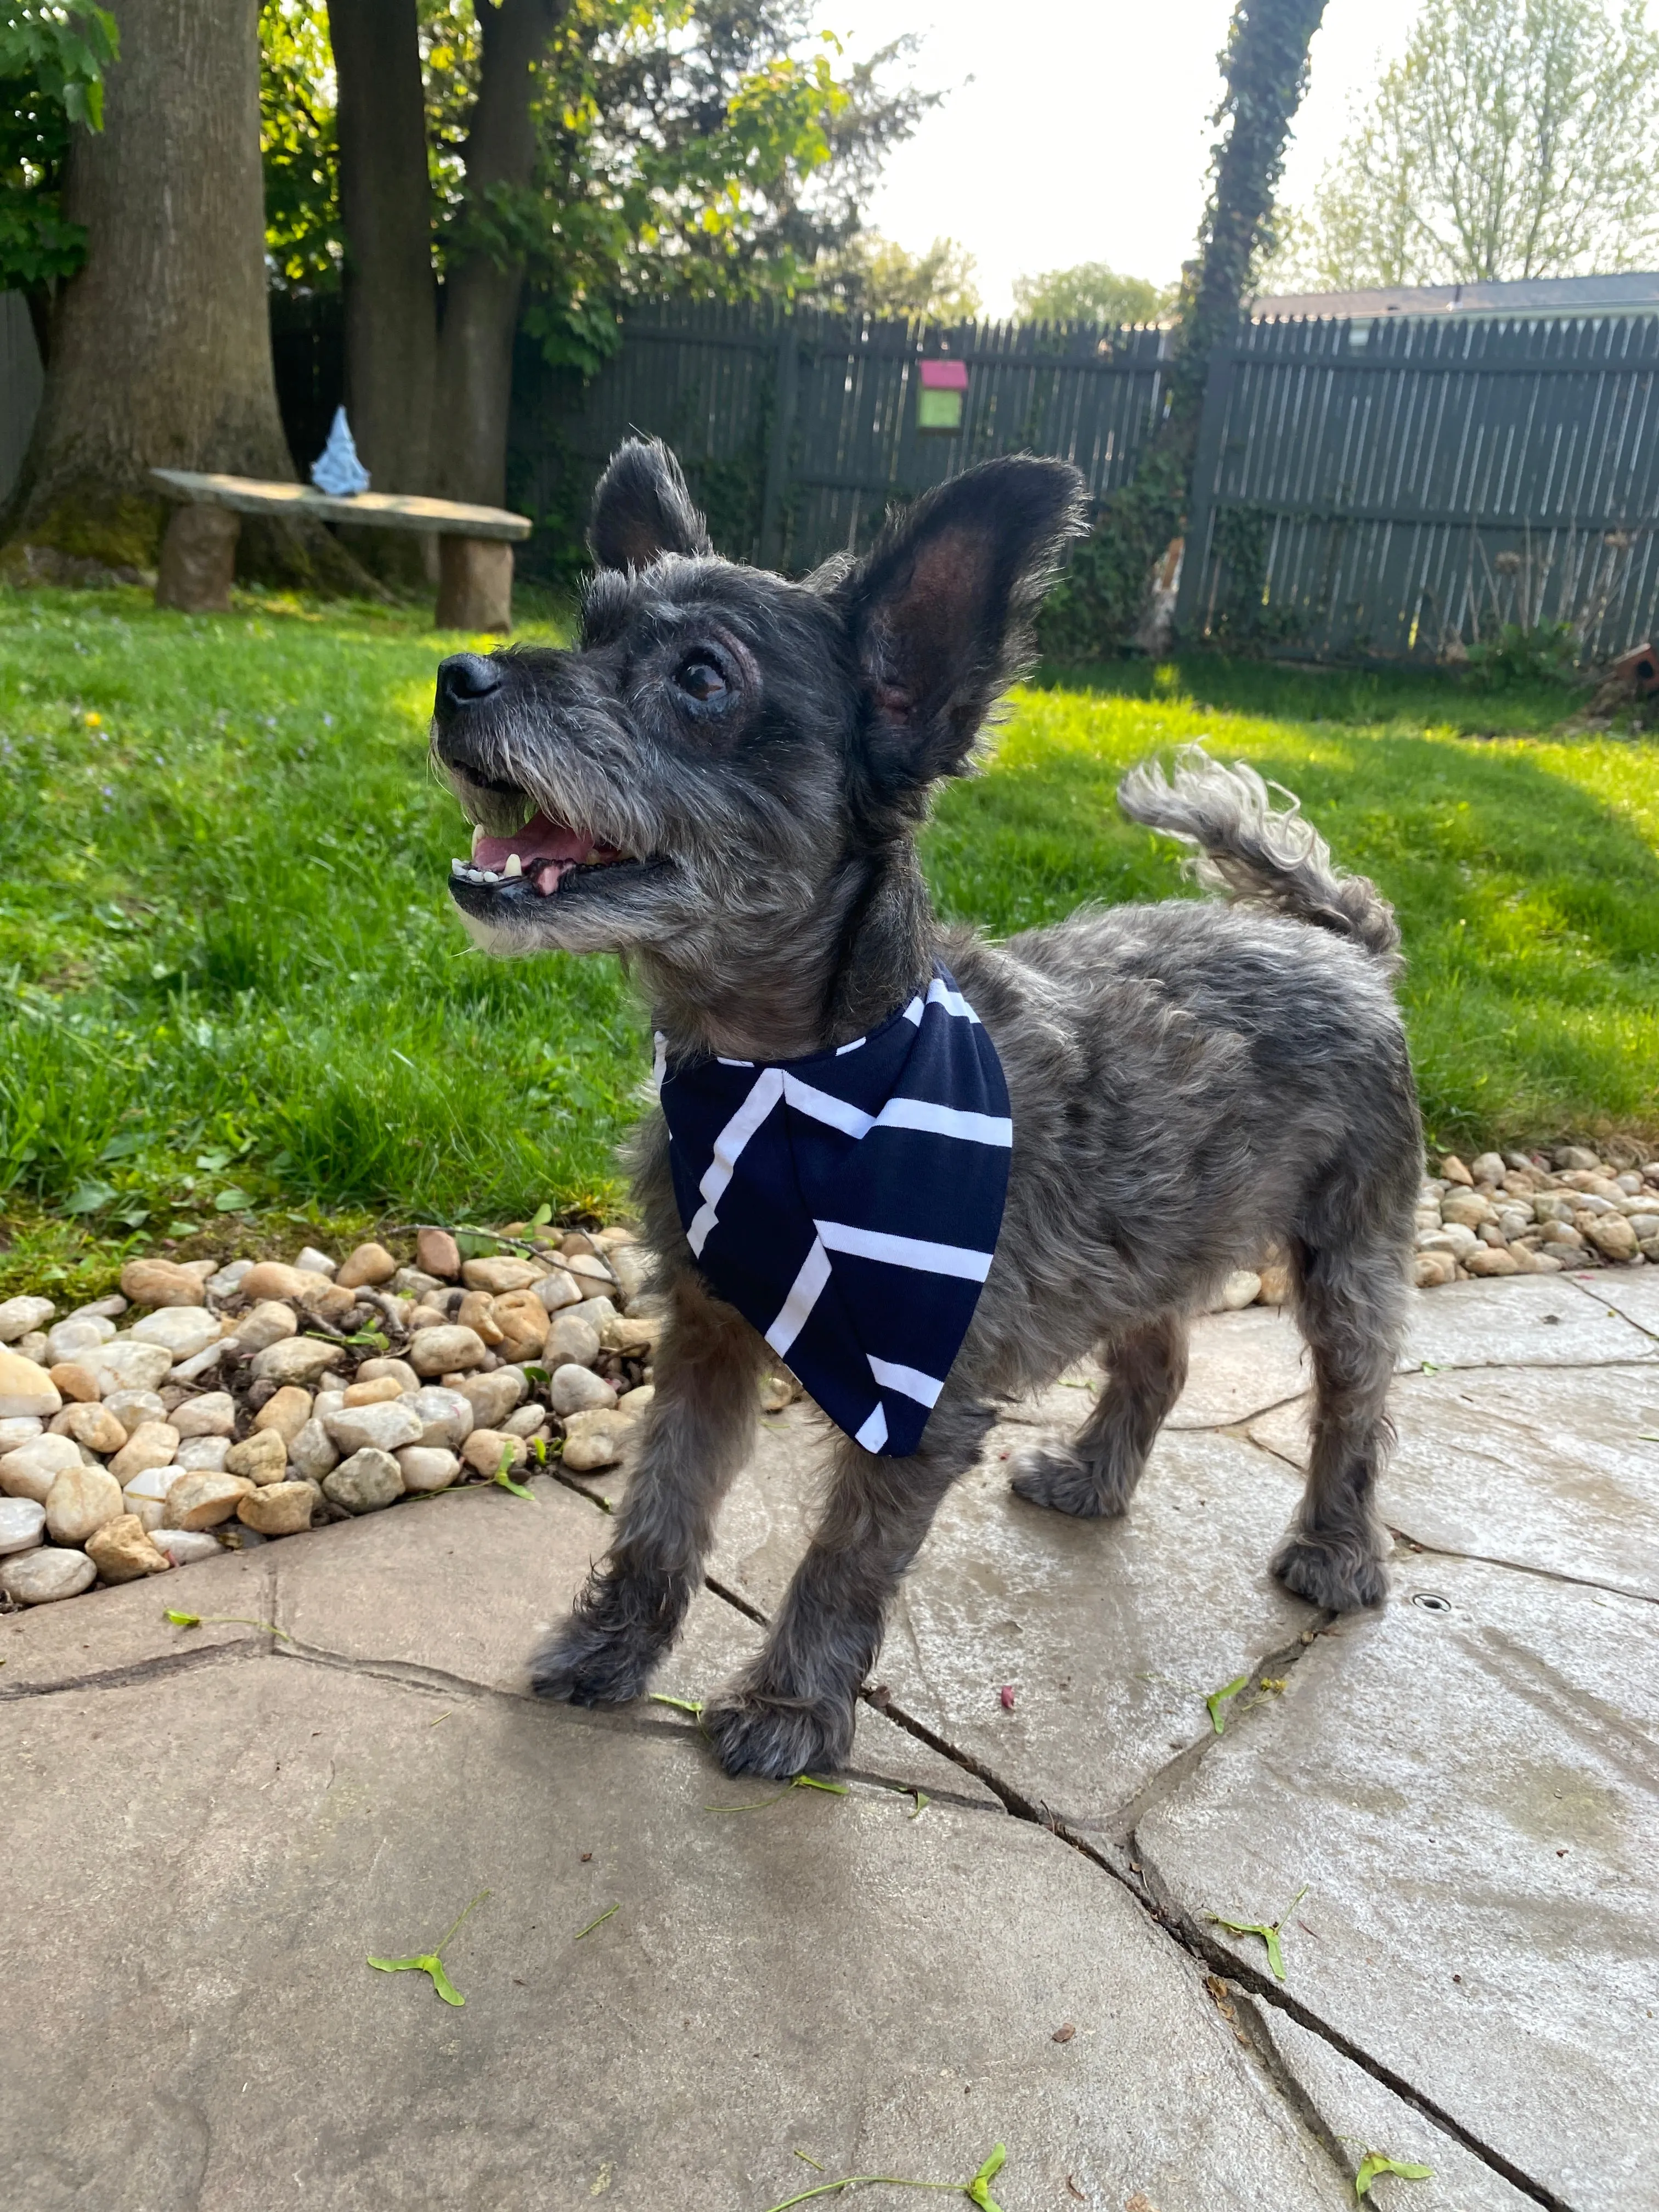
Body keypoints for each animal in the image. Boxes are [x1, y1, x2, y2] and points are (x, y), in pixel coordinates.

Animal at [425, 431, 1415, 1778]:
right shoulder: (710, 1333)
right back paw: (1096, 1478)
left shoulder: (922, 1387)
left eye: (701, 677)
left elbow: (845, 1555)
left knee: (1354, 1407)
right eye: (591, 623)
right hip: (1146, 1241)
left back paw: (1336, 1552)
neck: (788, 1075)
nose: (455, 675)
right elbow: (661, 1505)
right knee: (1158, 1358)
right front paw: (613, 1648)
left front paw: (792, 1709)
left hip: (1348, 1255)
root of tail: (1343, 945)